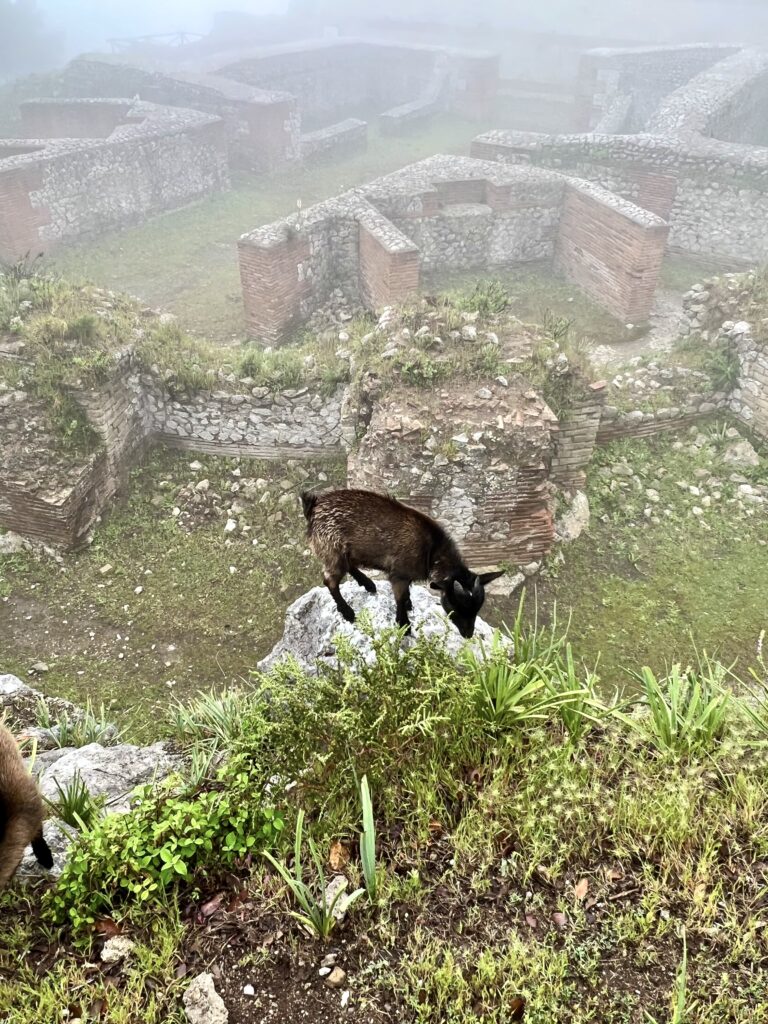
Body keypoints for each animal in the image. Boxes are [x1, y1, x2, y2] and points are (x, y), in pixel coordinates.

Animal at [301, 489, 505, 638]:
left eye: (477, 609)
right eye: (454, 606)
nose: (468, 634)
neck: (432, 551)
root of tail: (313, 506)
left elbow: (407, 593)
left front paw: (408, 605)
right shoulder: (399, 574)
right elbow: (399, 597)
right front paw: (404, 625)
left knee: (349, 565)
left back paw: (368, 583)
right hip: (331, 549)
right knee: (330, 580)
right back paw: (348, 611)